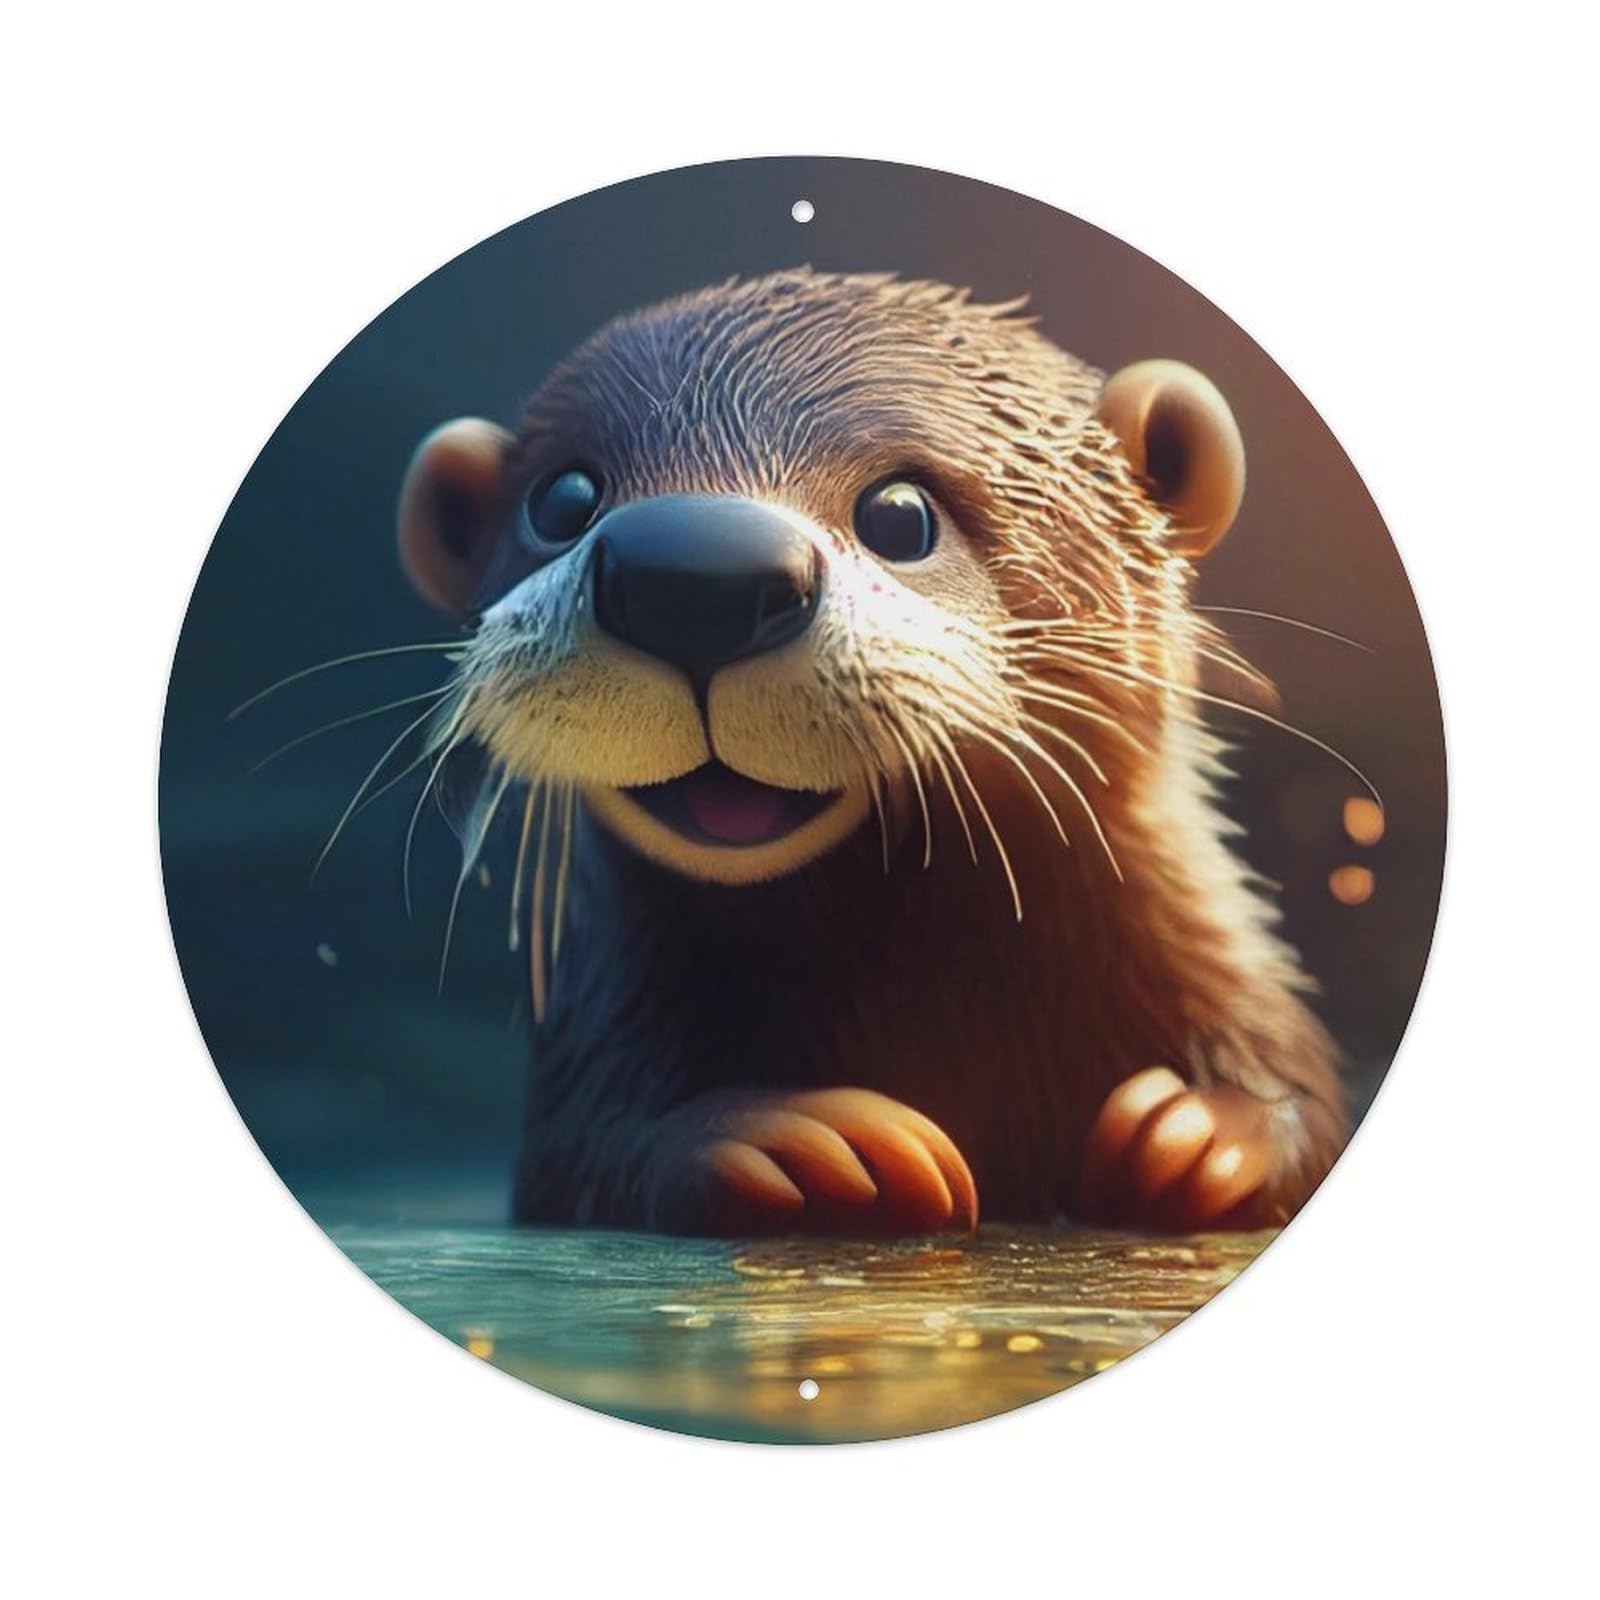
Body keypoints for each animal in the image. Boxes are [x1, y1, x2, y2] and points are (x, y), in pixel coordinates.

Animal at [395, 269, 1346, 1236]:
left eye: (901, 514)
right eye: (562, 502)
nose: (696, 574)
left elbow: (1311, 1109)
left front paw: (1207, 1130)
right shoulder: (596, 1037)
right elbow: (593, 1155)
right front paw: (793, 1136)